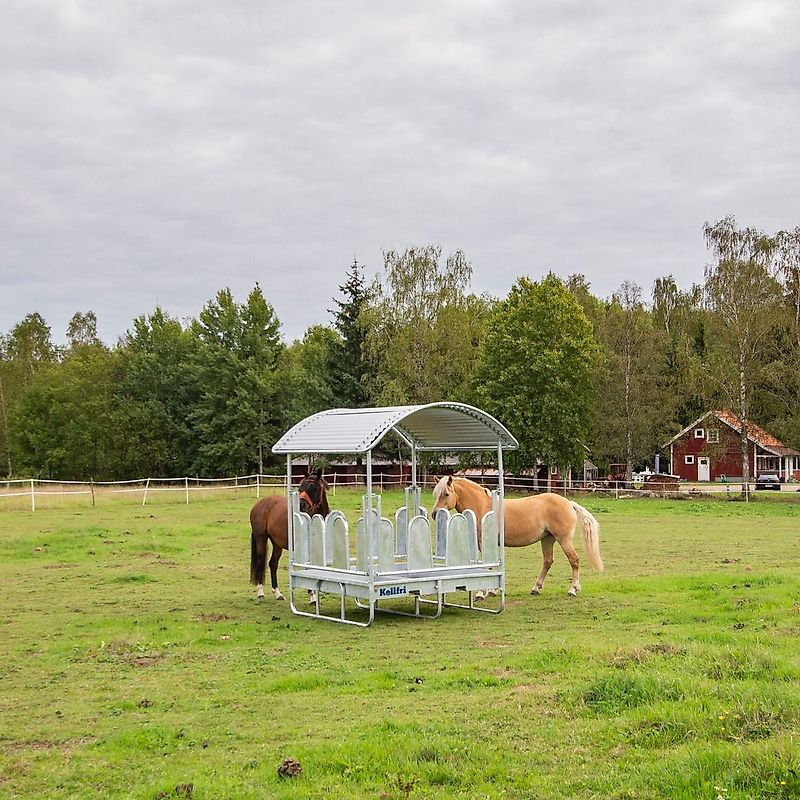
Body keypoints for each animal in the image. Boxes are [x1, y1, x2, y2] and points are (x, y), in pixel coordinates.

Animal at [247, 468, 328, 600]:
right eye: (301, 487)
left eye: (315, 487)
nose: (301, 505)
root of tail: (258, 504)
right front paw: (312, 596)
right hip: (261, 539)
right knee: (260, 562)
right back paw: (260, 592)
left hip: (277, 543)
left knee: (273, 563)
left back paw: (277, 593)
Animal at [434, 476, 604, 592]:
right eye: (436, 494)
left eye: (446, 494)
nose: (435, 514)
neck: (483, 507)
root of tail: (569, 503)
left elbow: (488, 567)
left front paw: (483, 593)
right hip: (547, 539)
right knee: (548, 561)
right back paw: (536, 588)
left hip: (564, 539)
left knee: (574, 560)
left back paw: (573, 589)